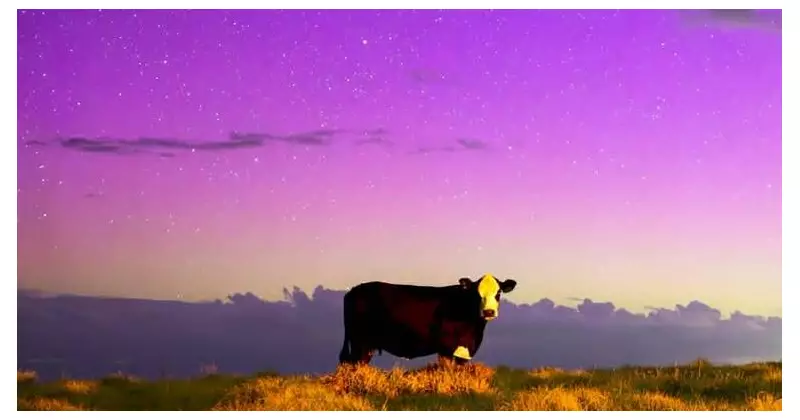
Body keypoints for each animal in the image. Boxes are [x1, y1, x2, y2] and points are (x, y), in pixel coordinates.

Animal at [337, 273, 517, 366]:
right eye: (477, 293)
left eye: (498, 292)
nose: (489, 311)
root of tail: (354, 289)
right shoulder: (447, 348)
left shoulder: (464, 351)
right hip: (360, 342)